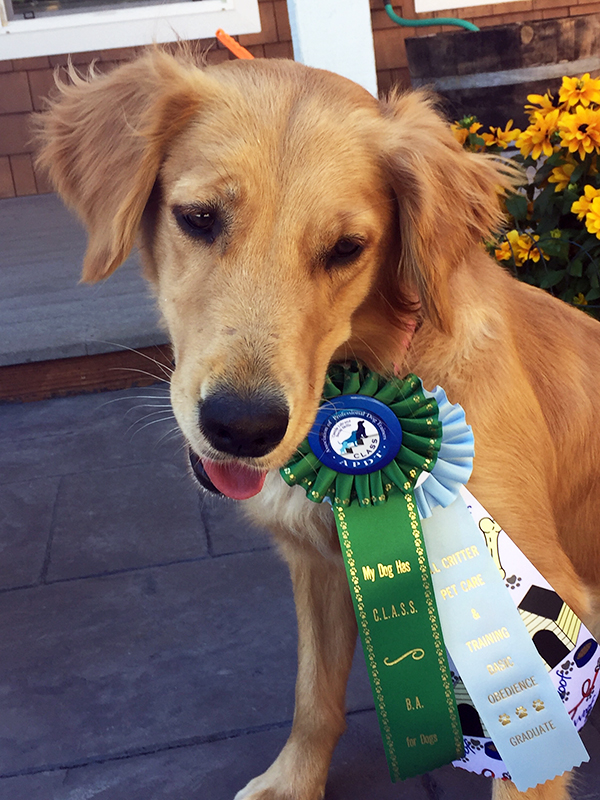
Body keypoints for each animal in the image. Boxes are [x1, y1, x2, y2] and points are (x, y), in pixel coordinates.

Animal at [36, 50, 600, 800]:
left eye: (346, 248)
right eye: (198, 217)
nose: (243, 428)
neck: (370, 371)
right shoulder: (321, 566)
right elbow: (314, 696)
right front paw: (293, 781)